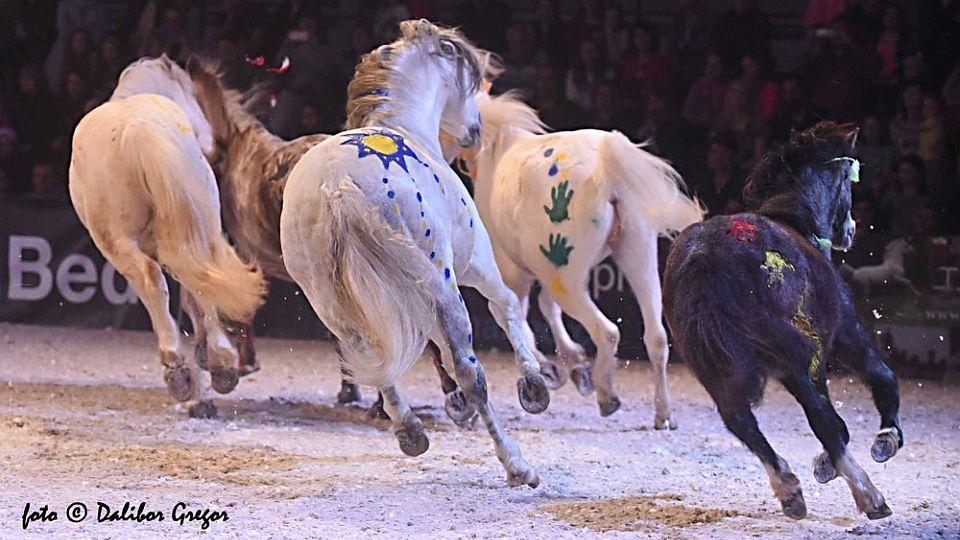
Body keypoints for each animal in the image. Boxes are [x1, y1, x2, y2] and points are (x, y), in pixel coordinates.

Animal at [69, 55, 266, 406]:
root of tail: (140, 132)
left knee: (155, 282)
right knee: (198, 280)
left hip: (119, 240)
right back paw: (213, 364)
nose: (214, 143)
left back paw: (184, 365)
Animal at [280, 19, 544, 487]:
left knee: (371, 355)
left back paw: (410, 431)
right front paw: (534, 387)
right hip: (442, 287)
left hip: (331, 302)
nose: (475, 129)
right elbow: (508, 306)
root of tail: (338, 183)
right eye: (474, 84)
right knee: (470, 371)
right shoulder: (475, 267)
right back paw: (517, 465)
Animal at [458, 90, 703, 425]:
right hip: (635, 255)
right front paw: (572, 364)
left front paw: (549, 370)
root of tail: (607, 168)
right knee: (656, 337)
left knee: (607, 332)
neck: (498, 147)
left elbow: (513, 314)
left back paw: (606, 395)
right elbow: (544, 308)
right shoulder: (543, 268)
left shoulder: (514, 271)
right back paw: (663, 413)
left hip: (566, 279)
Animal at [663, 122, 902, 520]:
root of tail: (703, 261)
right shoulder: (842, 335)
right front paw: (885, 441)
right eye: (848, 182)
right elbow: (881, 378)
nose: (851, 230)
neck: (796, 223)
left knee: (741, 422)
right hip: (792, 355)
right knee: (820, 417)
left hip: (720, 370)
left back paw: (790, 490)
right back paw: (868, 495)